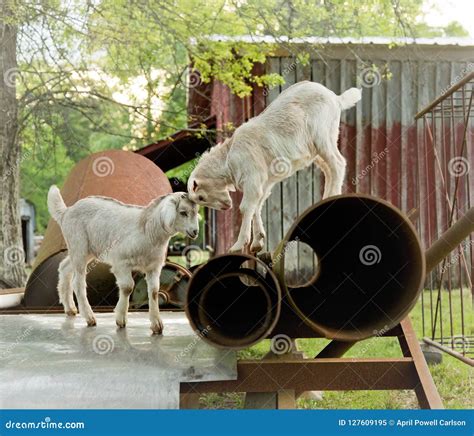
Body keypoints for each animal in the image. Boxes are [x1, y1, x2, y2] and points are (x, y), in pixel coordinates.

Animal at [46, 186, 198, 334]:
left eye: (196, 211)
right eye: (183, 212)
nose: (195, 231)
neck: (147, 229)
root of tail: (66, 212)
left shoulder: (153, 266)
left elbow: (154, 291)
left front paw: (157, 325)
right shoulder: (121, 262)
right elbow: (127, 287)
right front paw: (120, 320)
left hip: (85, 250)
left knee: (64, 267)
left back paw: (70, 309)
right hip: (79, 245)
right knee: (78, 282)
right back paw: (89, 318)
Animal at [187, 80, 362, 254]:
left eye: (201, 197)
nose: (226, 207)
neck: (228, 157)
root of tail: (336, 98)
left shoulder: (252, 177)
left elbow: (246, 207)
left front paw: (238, 245)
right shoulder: (263, 181)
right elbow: (257, 205)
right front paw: (257, 242)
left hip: (322, 135)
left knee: (338, 163)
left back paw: (332, 196)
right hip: (317, 148)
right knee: (329, 169)